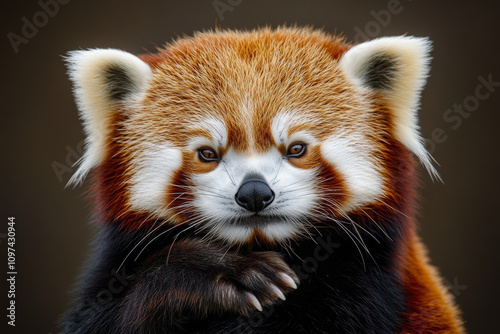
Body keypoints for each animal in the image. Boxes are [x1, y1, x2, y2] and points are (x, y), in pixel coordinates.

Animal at [60, 27, 462, 332]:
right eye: (208, 153)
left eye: (297, 149)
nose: (254, 193)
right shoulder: (114, 271)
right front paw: (220, 273)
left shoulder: (366, 284)